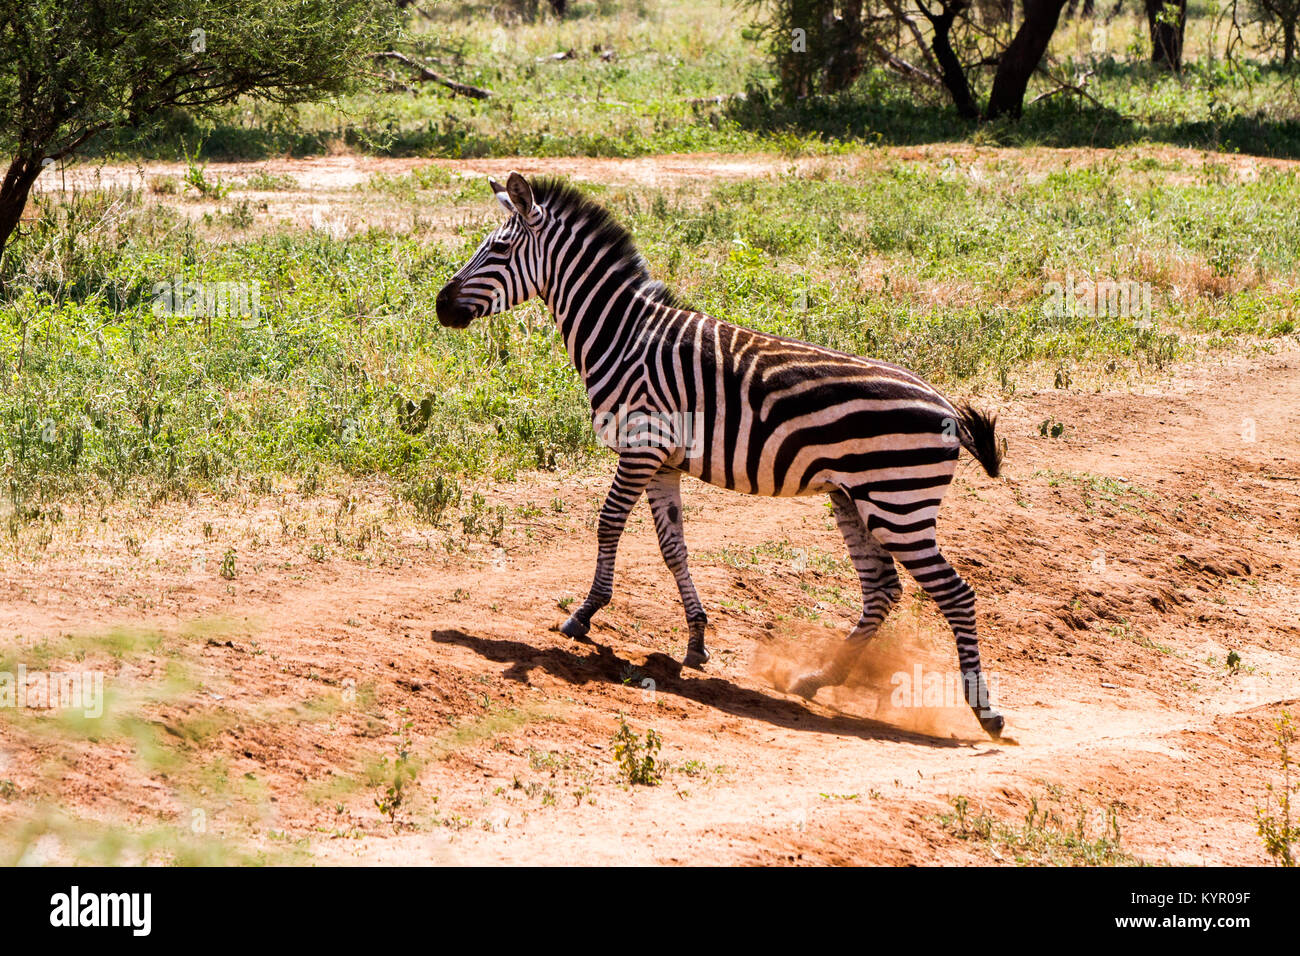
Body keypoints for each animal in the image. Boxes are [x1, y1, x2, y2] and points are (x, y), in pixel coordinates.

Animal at [436, 171, 1003, 738]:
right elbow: (674, 548)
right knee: (882, 589)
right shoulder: (662, 462)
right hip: (856, 499)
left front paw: (584, 614)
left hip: (898, 503)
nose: (440, 305)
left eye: (498, 249)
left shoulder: (641, 445)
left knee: (955, 593)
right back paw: (818, 680)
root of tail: (946, 407)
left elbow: (608, 523)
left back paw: (984, 709)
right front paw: (697, 639)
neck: (623, 336)